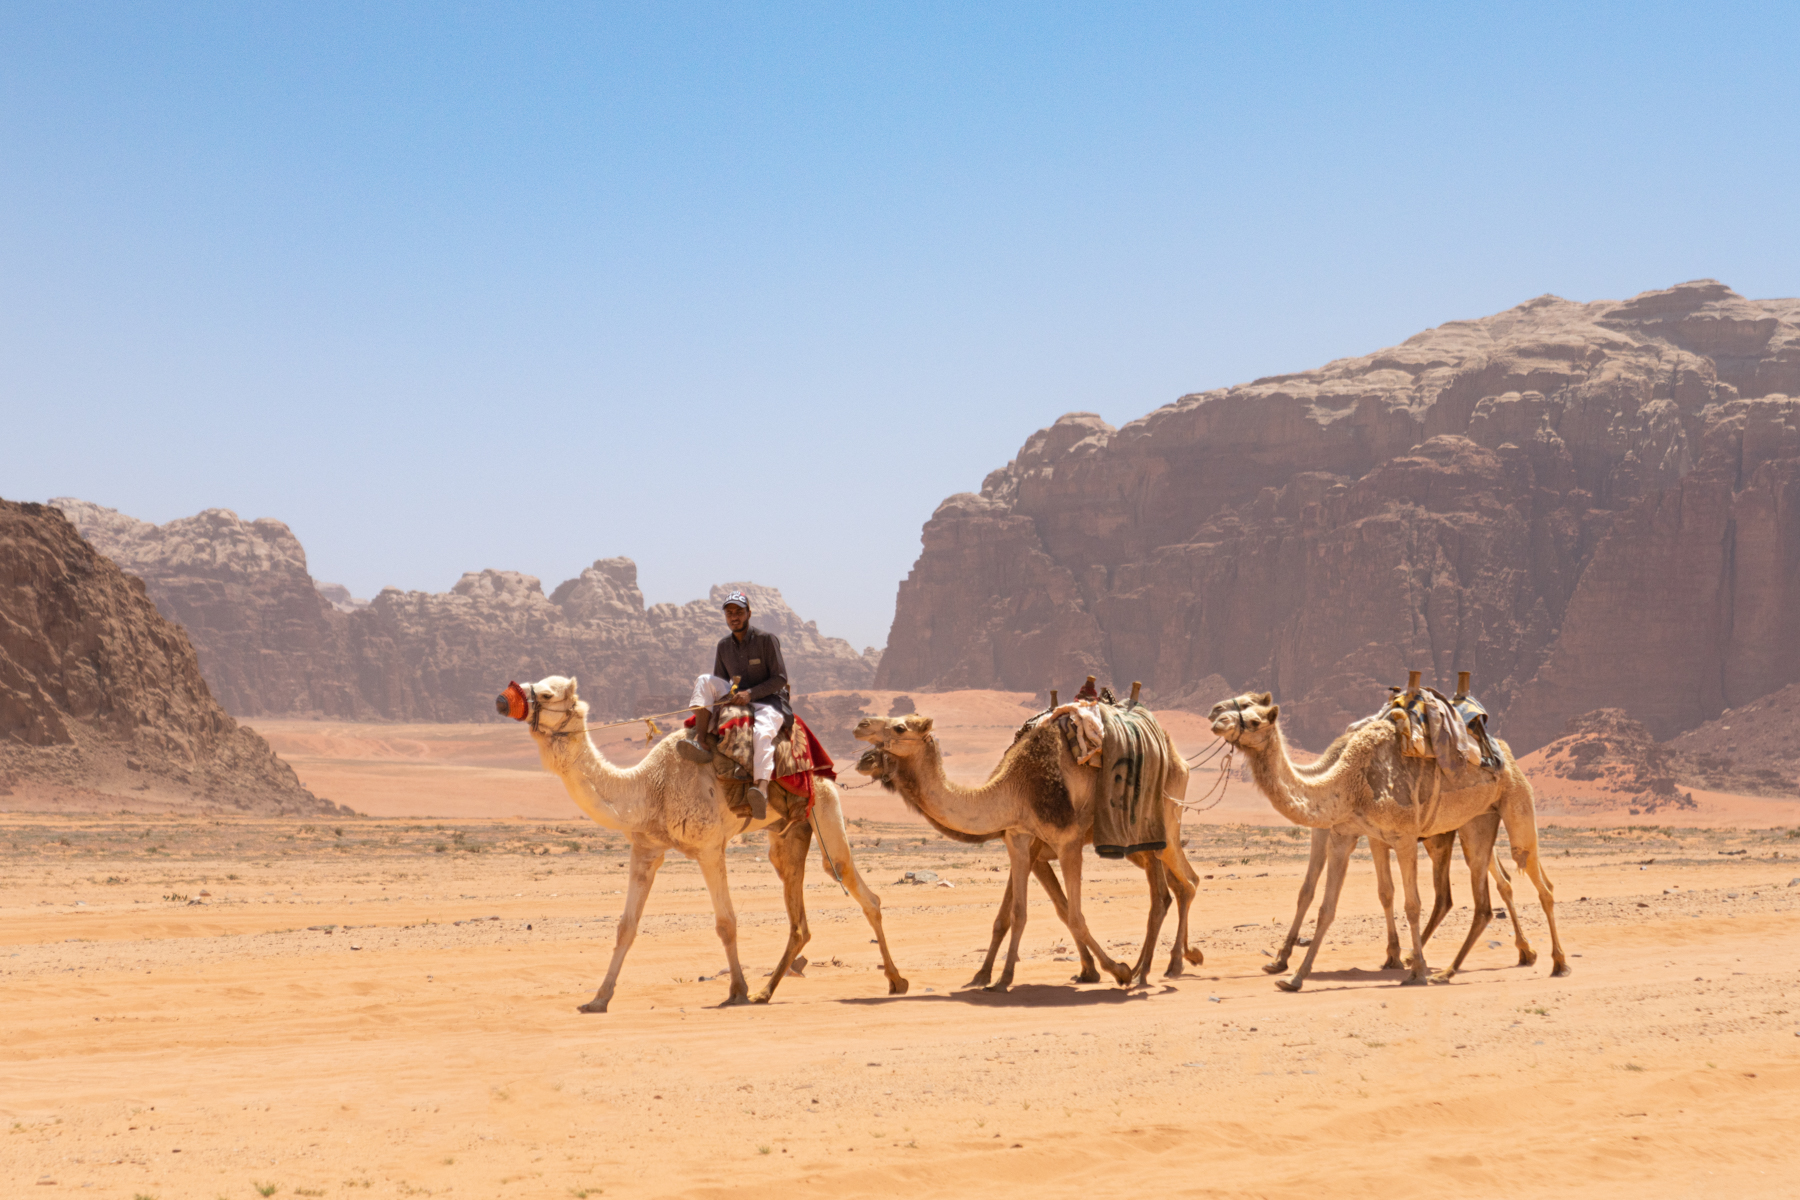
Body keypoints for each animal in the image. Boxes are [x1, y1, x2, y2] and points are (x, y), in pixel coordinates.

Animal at [505, 675, 907, 1011]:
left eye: (546, 694)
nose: (503, 698)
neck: (650, 787)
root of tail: (818, 765)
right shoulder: (646, 849)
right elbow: (626, 927)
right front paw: (598, 999)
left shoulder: (710, 847)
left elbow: (725, 922)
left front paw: (738, 991)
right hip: (788, 833)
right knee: (799, 918)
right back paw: (767, 992)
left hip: (823, 806)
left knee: (856, 885)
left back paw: (896, 981)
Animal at [854, 709, 1203, 991]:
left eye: (899, 728)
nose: (860, 726)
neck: (1015, 788)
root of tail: (1177, 757)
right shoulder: (1021, 841)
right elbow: (1015, 914)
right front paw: (996, 977)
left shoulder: (1067, 842)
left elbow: (1074, 914)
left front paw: (1117, 970)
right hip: (1137, 845)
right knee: (1167, 892)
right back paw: (1155, 965)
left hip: (1163, 822)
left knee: (1179, 886)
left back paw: (1157, 968)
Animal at [1210, 692, 1568, 987]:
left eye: (1253, 718)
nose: (1216, 716)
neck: (1345, 779)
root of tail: (1501, 751)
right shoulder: (1345, 834)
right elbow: (1326, 903)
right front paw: (1293, 974)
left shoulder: (1402, 836)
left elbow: (1410, 903)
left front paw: (1415, 971)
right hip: (1474, 823)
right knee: (1482, 897)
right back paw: (1450, 969)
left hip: (1515, 803)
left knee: (1535, 878)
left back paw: (1555, 962)